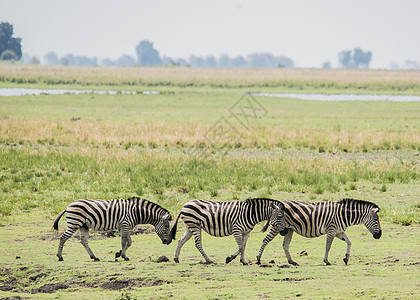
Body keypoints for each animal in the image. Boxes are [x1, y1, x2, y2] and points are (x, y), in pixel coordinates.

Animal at [254, 199, 382, 264]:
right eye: (376, 220)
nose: (379, 235)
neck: (343, 215)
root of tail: (278, 205)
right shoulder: (331, 230)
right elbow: (328, 246)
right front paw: (326, 261)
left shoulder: (339, 232)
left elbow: (349, 242)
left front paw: (346, 258)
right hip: (277, 227)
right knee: (265, 240)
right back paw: (258, 259)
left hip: (289, 229)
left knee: (285, 244)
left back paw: (291, 261)